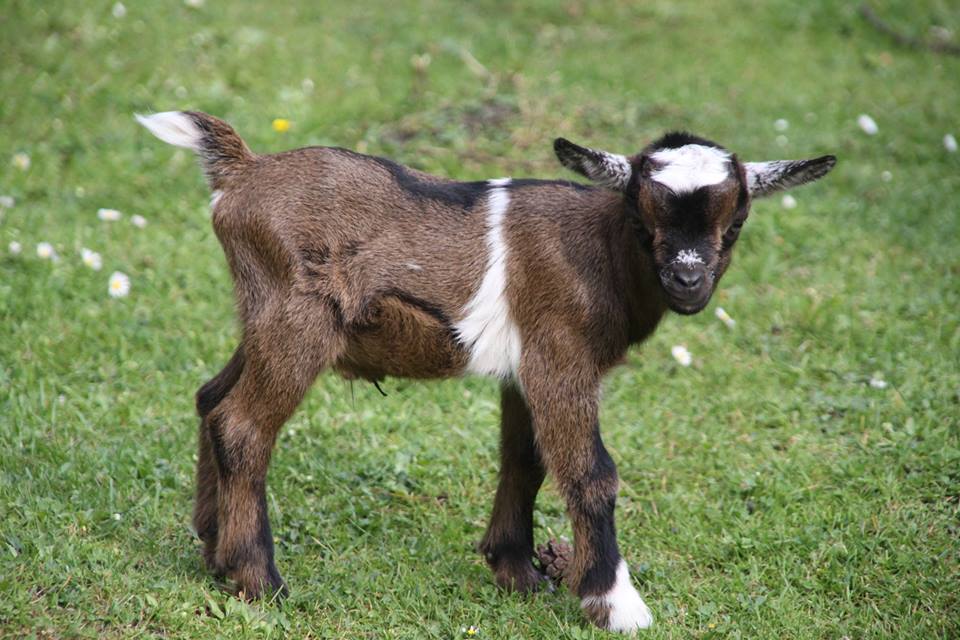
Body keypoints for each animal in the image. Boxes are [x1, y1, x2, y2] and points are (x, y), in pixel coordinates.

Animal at [136, 110, 836, 633]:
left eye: (735, 223)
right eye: (642, 218)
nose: (688, 282)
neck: (600, 251)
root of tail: (241, 170)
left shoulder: (525, 369)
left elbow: (524, 460)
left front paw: (517, 572)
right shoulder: (560, 355)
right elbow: (590, 472)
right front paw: (615, 605)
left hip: (261, 316)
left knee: (211, 398)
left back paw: (212, 552)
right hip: (299, 318)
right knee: (244, 426)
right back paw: (260, 580)